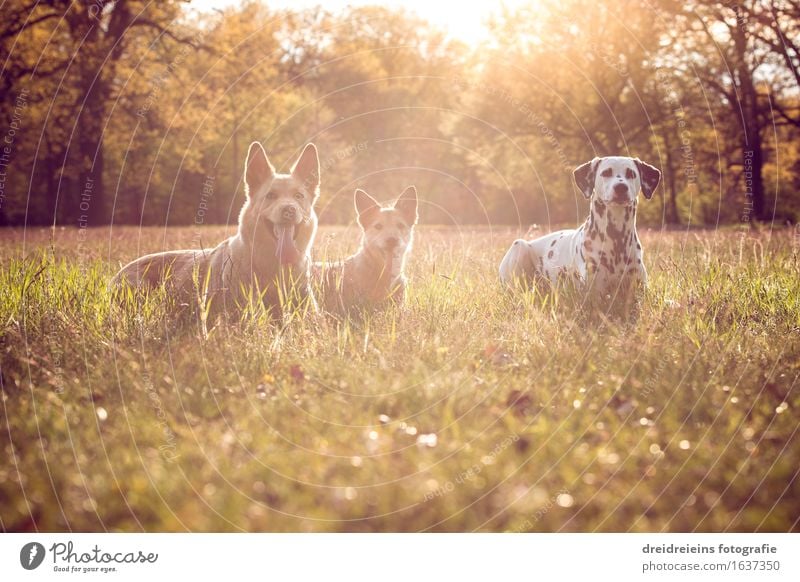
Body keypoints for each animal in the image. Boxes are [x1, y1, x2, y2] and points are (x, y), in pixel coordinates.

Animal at [500, 157, 664, 304]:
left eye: (631, 173)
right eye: (606, 173)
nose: (620, 187)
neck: (616, 238)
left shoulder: (640, 287)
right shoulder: (594, 292)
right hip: (519, 246)